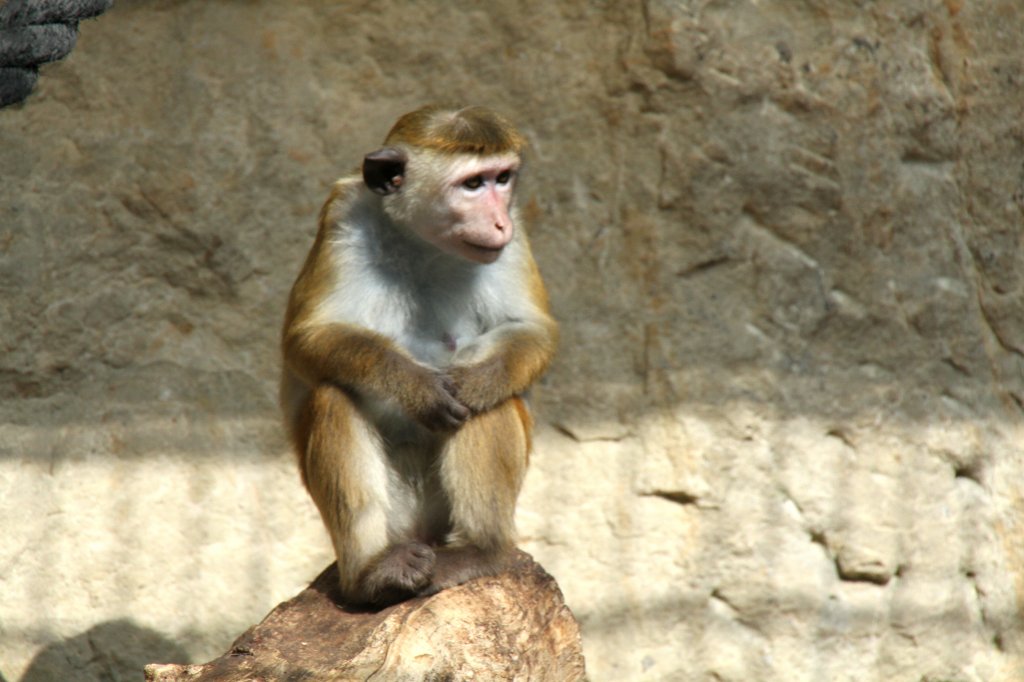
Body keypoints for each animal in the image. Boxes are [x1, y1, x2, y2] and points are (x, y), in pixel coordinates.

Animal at [280, 103, 561, 602]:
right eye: (473, 184)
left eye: (502, 178)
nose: (500, 221)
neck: (424, 243)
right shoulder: (342, 215)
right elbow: (309, 337)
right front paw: (416, 387)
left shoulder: (515, 241)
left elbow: (531, 330)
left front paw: (475, 382)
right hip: (400, 516)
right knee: (333, 394)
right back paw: (372, 572)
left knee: (490, 401)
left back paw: (480, 549)